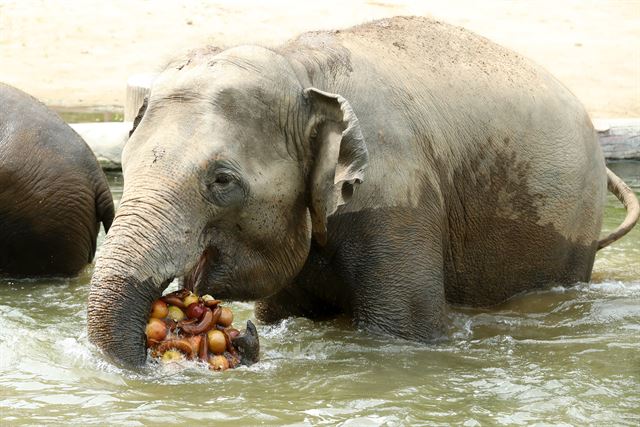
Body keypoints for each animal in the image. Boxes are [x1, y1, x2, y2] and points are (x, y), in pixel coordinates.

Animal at [86, 15, 640, 364]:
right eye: (125, 165)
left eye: (222, 180)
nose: (242, 335)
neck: (299, 68)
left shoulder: (398, 197)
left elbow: (400, 334)